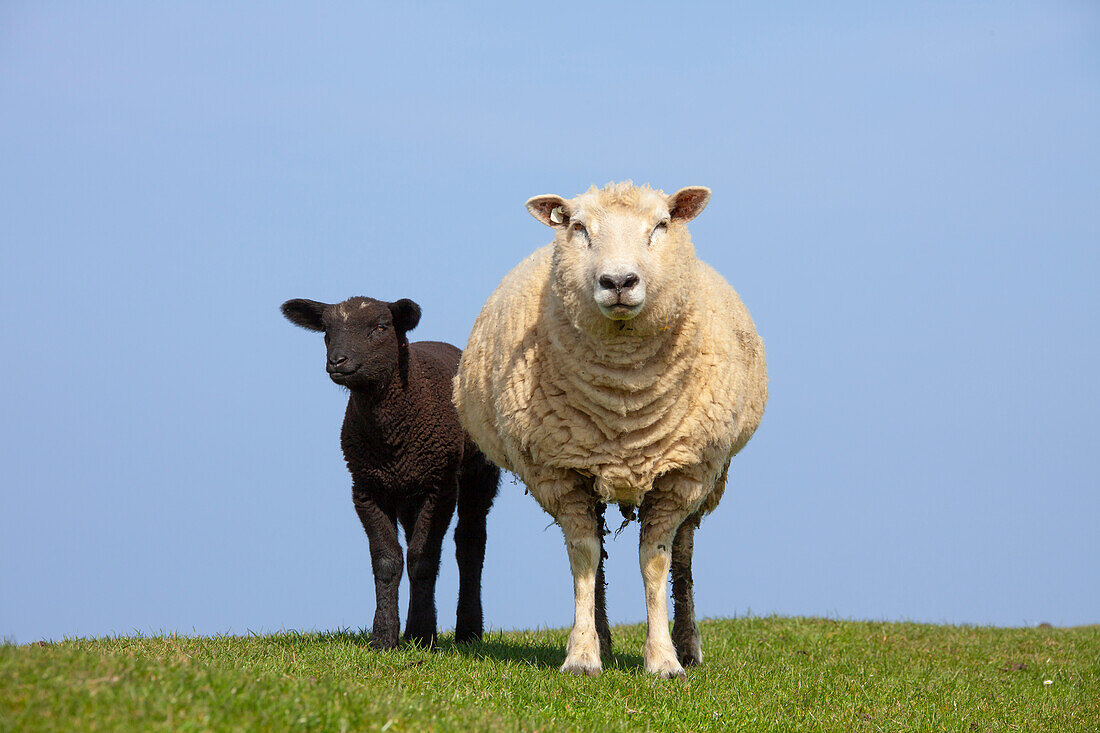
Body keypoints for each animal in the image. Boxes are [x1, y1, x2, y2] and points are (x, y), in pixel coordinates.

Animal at [281, 294, 501, 647]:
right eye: (326, 330)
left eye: (381, 327)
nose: (337, 361)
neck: (391, 437)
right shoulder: (367, 488)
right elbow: (388, 560)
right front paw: (385, 637)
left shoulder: (439, 486)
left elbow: (422, 559)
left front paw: (421, 635)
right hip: (408, 491)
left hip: (477, 473)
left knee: (470, 542)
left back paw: (467, 630)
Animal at [451, 179, 770, 677]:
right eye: (579, 228)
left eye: (661, 225)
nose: (618, 282)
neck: (625, 398)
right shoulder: (559, 473)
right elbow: (583, 556)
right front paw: (583, 655)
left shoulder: (682, 475)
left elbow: (656, 563)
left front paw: (664, 660)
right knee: (598, 551)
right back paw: (601, 635)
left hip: (710, 476)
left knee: (684, 554)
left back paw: (688, 644)